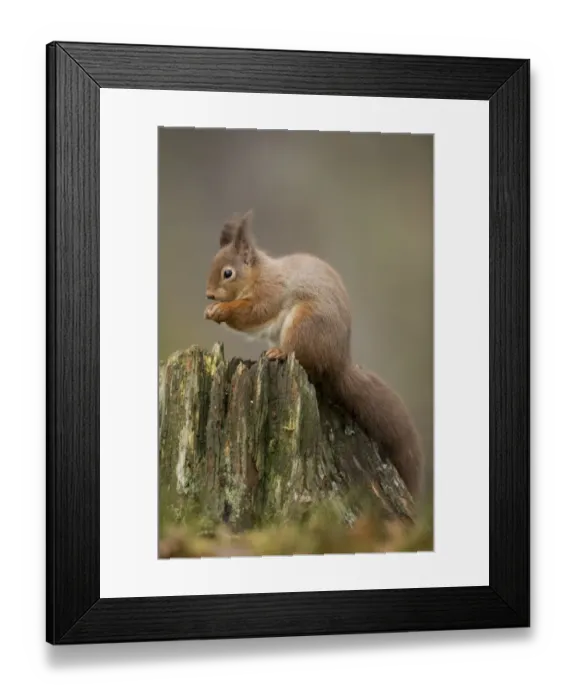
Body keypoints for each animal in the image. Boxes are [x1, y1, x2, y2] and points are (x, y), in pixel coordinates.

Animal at [203, 210, 424, 499]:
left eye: (228, 273)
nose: (208, 294)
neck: (259, 274)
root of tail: (338, 364)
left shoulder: (270, 294)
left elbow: (253, 312)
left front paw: (221, 310)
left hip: (303, 324)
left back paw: (278, 352)